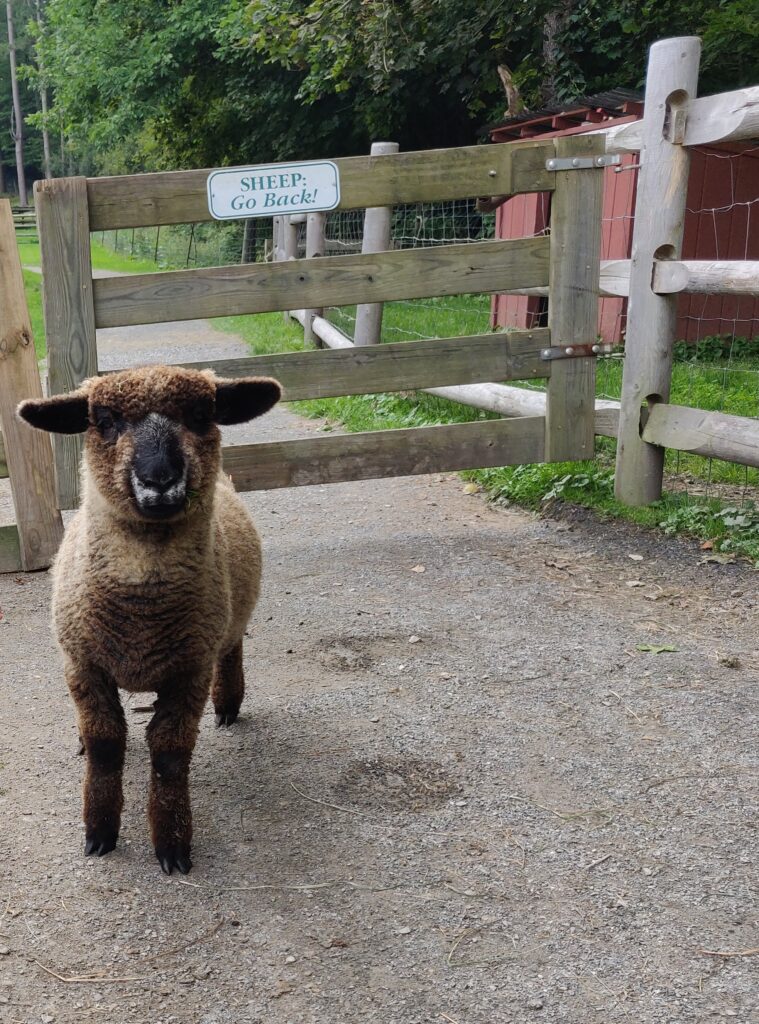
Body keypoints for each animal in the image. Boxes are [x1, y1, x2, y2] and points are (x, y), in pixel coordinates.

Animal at [19, 364, 280, 876]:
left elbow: (170, 754)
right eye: (104, 420)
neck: (141, 614)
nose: (159, 480)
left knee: (234, 646)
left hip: (227, 620)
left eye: (201, 415)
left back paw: (228, 704)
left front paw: (173, 847)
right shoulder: (83, 665)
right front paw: (99, 832)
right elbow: (105, 745)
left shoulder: (189, 672)